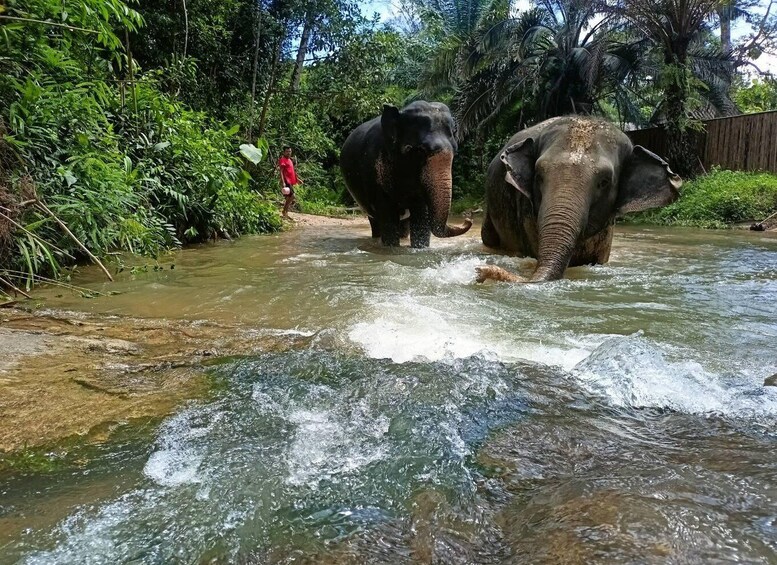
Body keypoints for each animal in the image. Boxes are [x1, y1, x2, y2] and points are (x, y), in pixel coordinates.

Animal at [340, 101, 472, 247]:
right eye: (419, 151)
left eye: (455, 151)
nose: (468, 220)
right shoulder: (374, 172)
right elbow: (388, 215)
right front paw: (391, 248)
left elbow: (421, 215)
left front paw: (419, 248)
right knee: (375, 221)